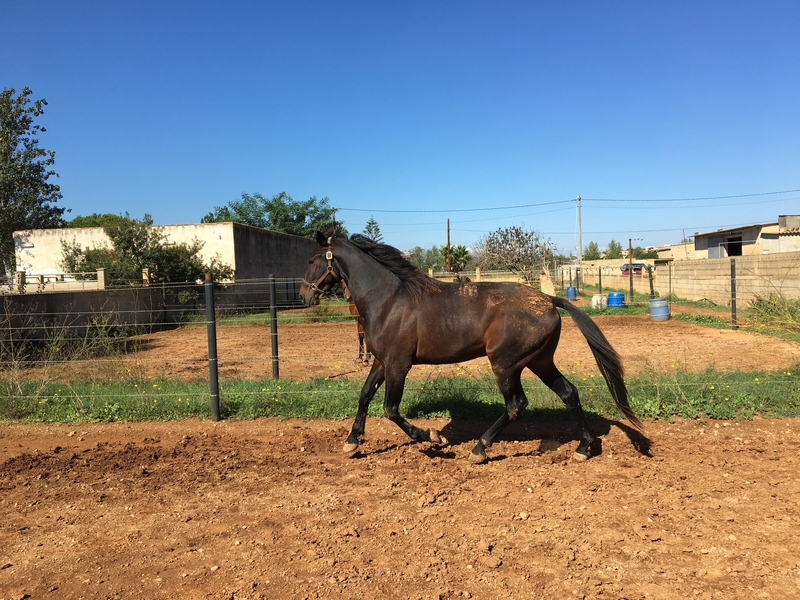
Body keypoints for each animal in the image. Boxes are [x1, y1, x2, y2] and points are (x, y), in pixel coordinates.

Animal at [300, 231, 642, 464]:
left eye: (313, 260)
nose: (304, 295)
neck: (389, 300)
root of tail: (548, 299)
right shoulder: (381, 361)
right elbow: (364, 395)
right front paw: (351, 441)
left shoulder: (398, 364)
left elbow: (391, 409)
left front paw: (433, 437)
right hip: (539, 361)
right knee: (569, 393)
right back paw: (583, 447)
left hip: (506, 364)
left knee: (516, 404)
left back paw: (480, 448)